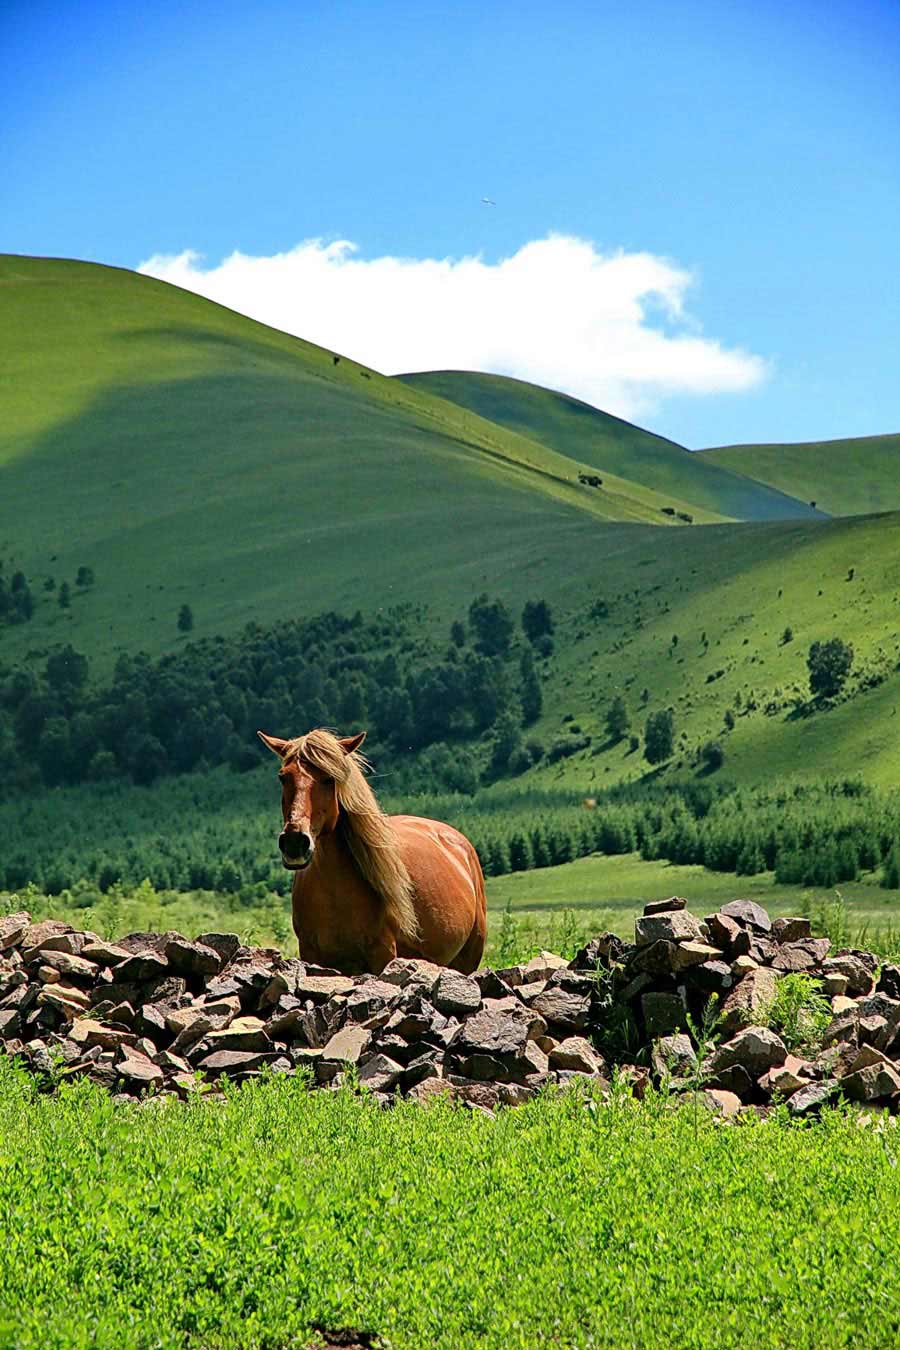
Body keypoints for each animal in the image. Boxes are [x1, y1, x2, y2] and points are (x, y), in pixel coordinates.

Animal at [256, 734, 488, 977]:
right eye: (283, 777)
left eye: (329, 779)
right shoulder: (312, 954)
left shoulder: (383, 954)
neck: (336, 895)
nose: (294, 842)